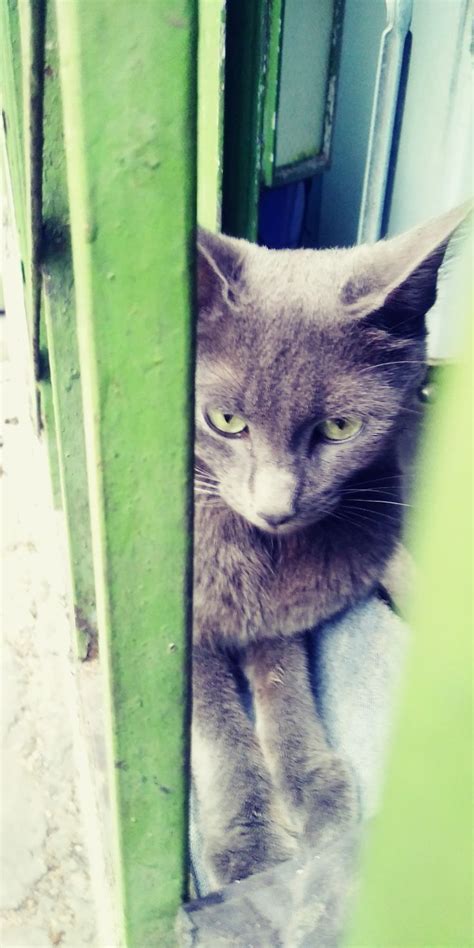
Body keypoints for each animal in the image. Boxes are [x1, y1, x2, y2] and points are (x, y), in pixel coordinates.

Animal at [192, 204, 466, 892]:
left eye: (340, 428)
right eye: (226, 422)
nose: (276, 507)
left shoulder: (282, 614)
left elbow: (284, 680)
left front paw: (315, 789)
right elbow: (215, 721)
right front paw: (250, 842)